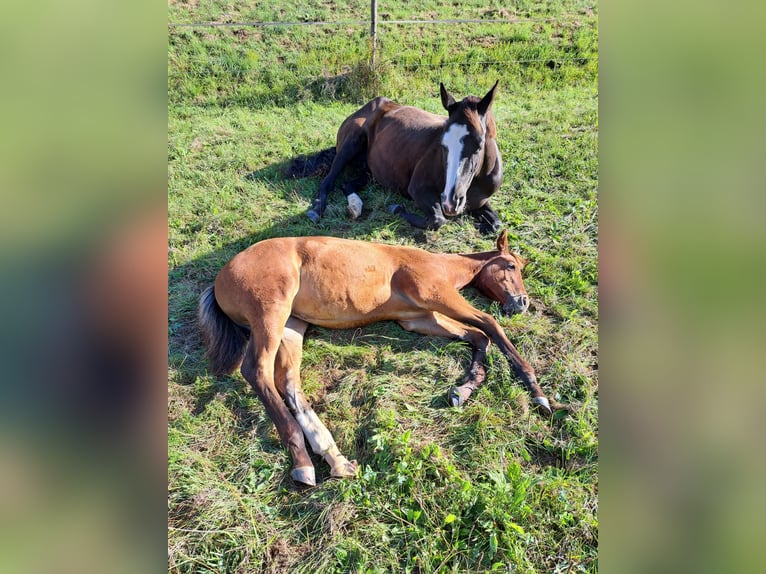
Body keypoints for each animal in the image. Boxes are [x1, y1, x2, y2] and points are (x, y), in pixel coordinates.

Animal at [201, 232, 556, 488]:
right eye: (511, 266)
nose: (522, 303)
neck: (440, 265)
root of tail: (220, 278)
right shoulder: (437, 295)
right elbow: (490, 325)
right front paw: (537, 391)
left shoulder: (419, 318)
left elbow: (478, 336)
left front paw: (463, 390)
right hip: (271, 312)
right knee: (256, 370)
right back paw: (303, 464)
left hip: (293, 325)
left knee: (288, 383)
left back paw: (334, 459)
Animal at [286, 81, 504, 234]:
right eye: (442, 144)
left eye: (479, 144)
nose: (451, 202)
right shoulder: (418, 189)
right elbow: (437, 220)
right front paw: (396, 208)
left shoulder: (478, 202)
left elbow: (497, 224)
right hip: (350, 144)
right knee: (328, 182)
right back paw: (317, 210)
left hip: (369, 171)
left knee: (347, 184)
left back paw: (355, 207)